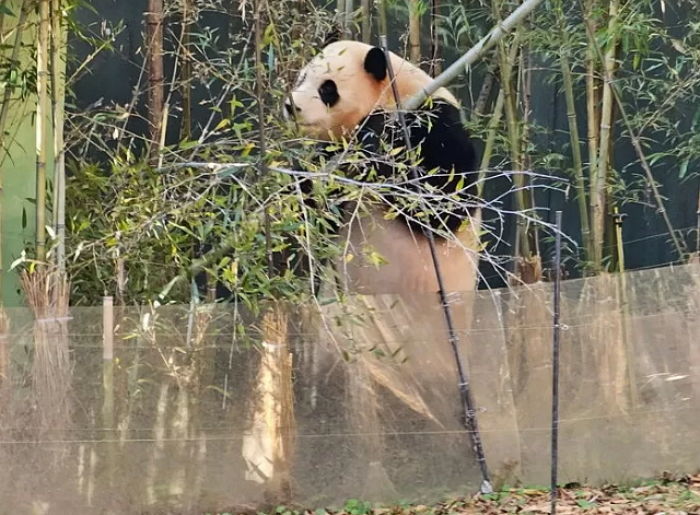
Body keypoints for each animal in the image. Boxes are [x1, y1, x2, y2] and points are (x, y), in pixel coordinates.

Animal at [284, 40, 482, 296]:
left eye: (327, 88)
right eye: (302, 78)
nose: (291, 106)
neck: (392, 94)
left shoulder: (435, 119)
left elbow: (443, 204)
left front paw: (372, 129)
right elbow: (315, 215)